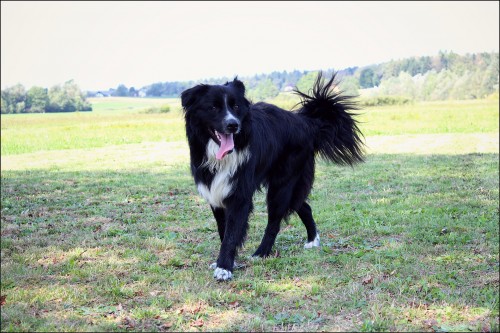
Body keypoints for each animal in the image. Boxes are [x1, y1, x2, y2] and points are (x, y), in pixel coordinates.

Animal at [181, 73, 364, 280]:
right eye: (213, 107)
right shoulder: (216, 193)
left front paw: (224, 268)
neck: (220, 157)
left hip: (282, 184)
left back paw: (261, 253)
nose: (233, 125)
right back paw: (312, 240)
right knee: (303, 206)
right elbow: (223, 229)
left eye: (236, 107)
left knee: (275, 221)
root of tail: (307, 123)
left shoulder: (240, 196)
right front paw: (229, 262)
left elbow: (231, 233)